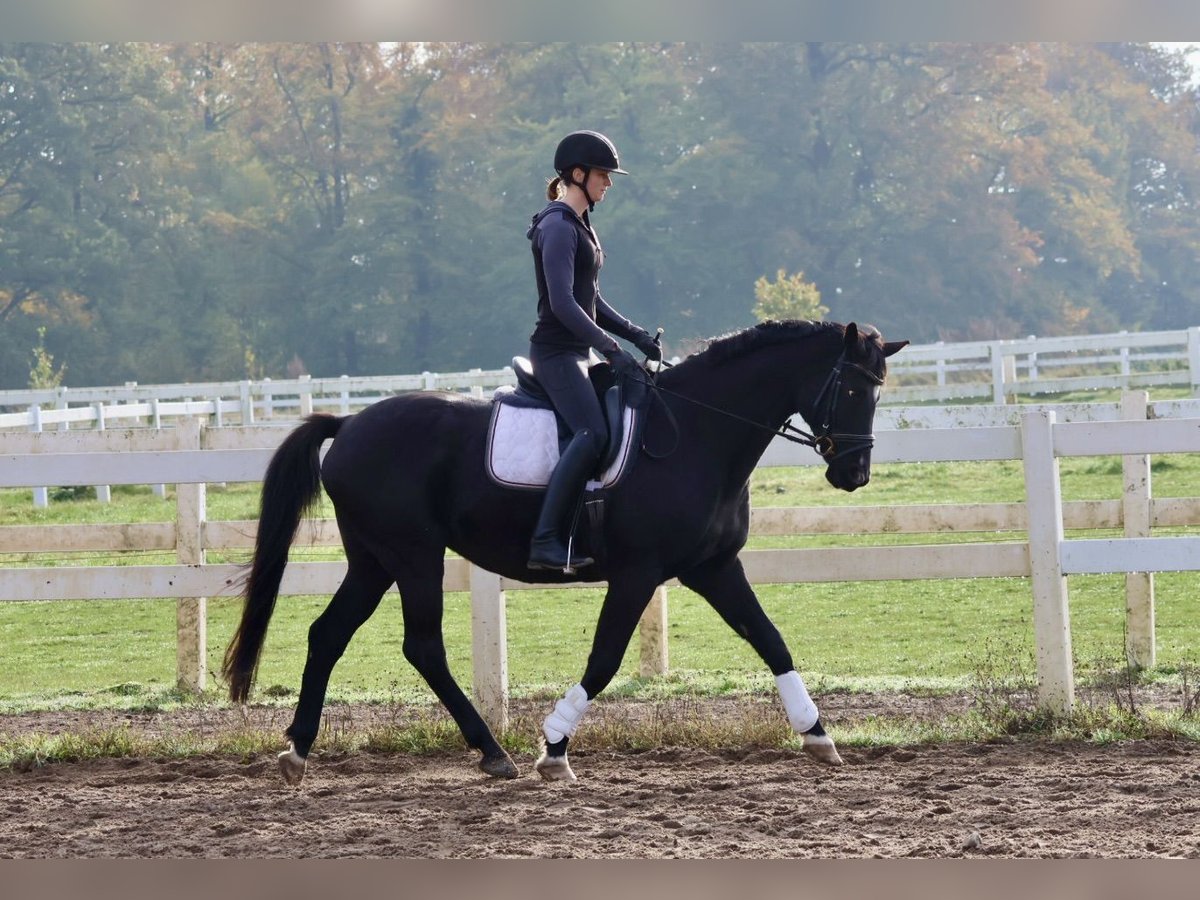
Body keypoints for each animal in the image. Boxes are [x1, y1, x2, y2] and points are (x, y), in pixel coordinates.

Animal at [220, 321, 902, 782]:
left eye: (878, 392)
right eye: (850, 390)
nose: (855, 473)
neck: (696, 432)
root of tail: (351, 425)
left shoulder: (713, 568)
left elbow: (770, 639)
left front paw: (817, 734)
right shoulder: (638, 574)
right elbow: (604, 659)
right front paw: (553, 747)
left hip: (373, 561)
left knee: (327, 634)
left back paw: (298, 750)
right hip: (412, 555)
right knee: (422, 646)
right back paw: (493, 752)